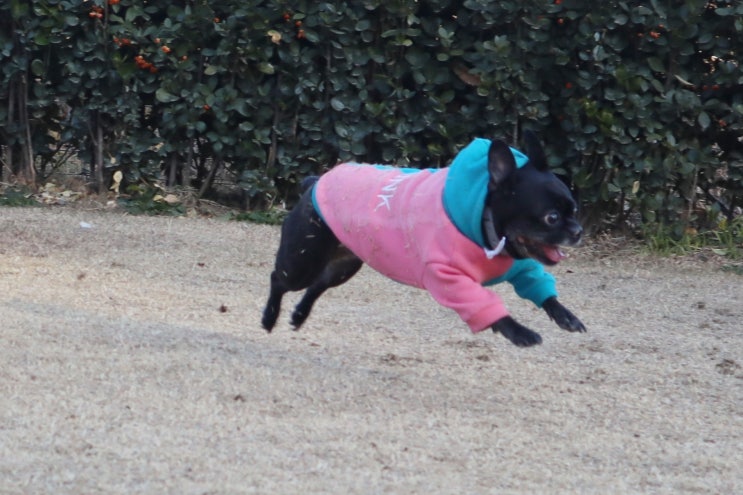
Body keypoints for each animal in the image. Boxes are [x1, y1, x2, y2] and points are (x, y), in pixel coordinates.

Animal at [262, 133, 588, 348]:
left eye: (574, 209)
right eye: (551, 218)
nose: (577, 230)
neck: (485, 227)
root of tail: (314, 183)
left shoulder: (523, 267)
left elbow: (542, 290)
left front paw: (566, 316)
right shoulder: (449, 280)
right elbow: (488, 308)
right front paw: (520, 332)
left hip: (343, 266)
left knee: (317, 286)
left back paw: (299, 316)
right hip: (302, 260)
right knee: (279, 279)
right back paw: (269, 318)